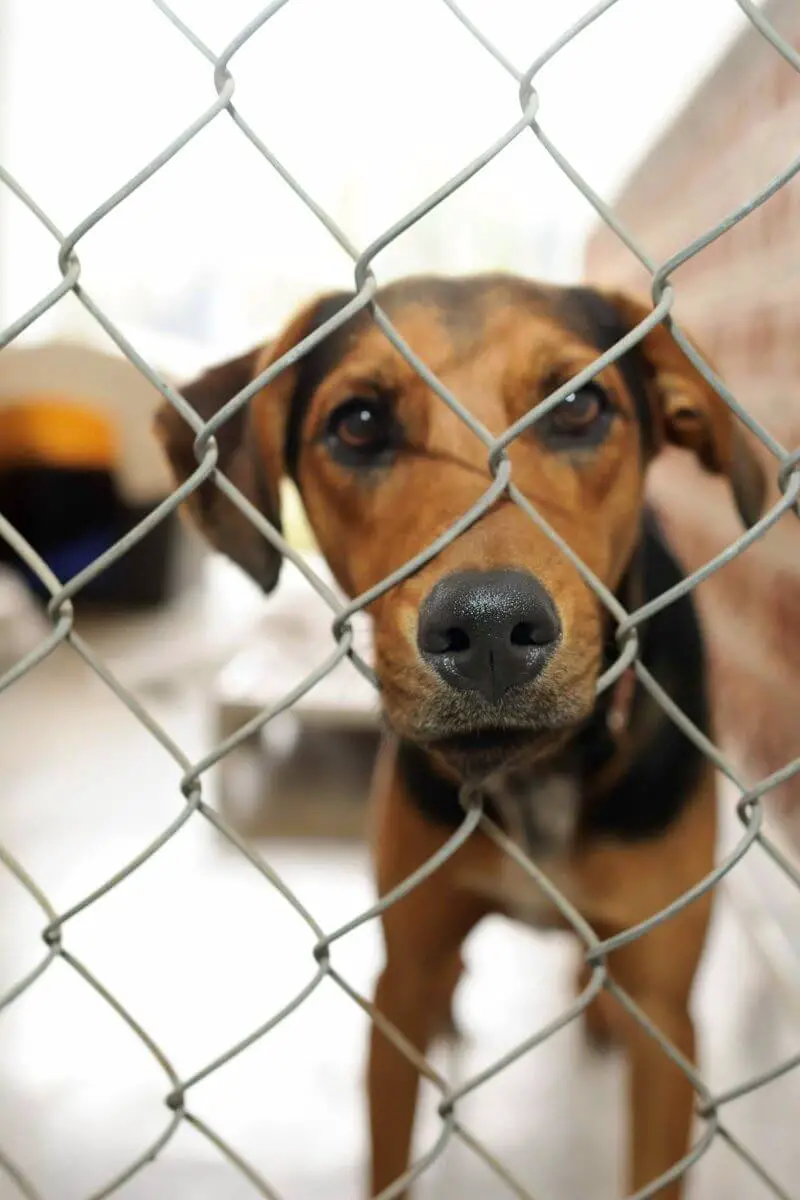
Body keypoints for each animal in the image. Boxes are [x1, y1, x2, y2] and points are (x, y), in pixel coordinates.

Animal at [154, 274, 762, 1200]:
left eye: (579, 406)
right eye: (358, 422)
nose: (486, 628)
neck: (536, 773)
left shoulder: (669, 1021)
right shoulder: (397, 986)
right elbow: (392, 1141)